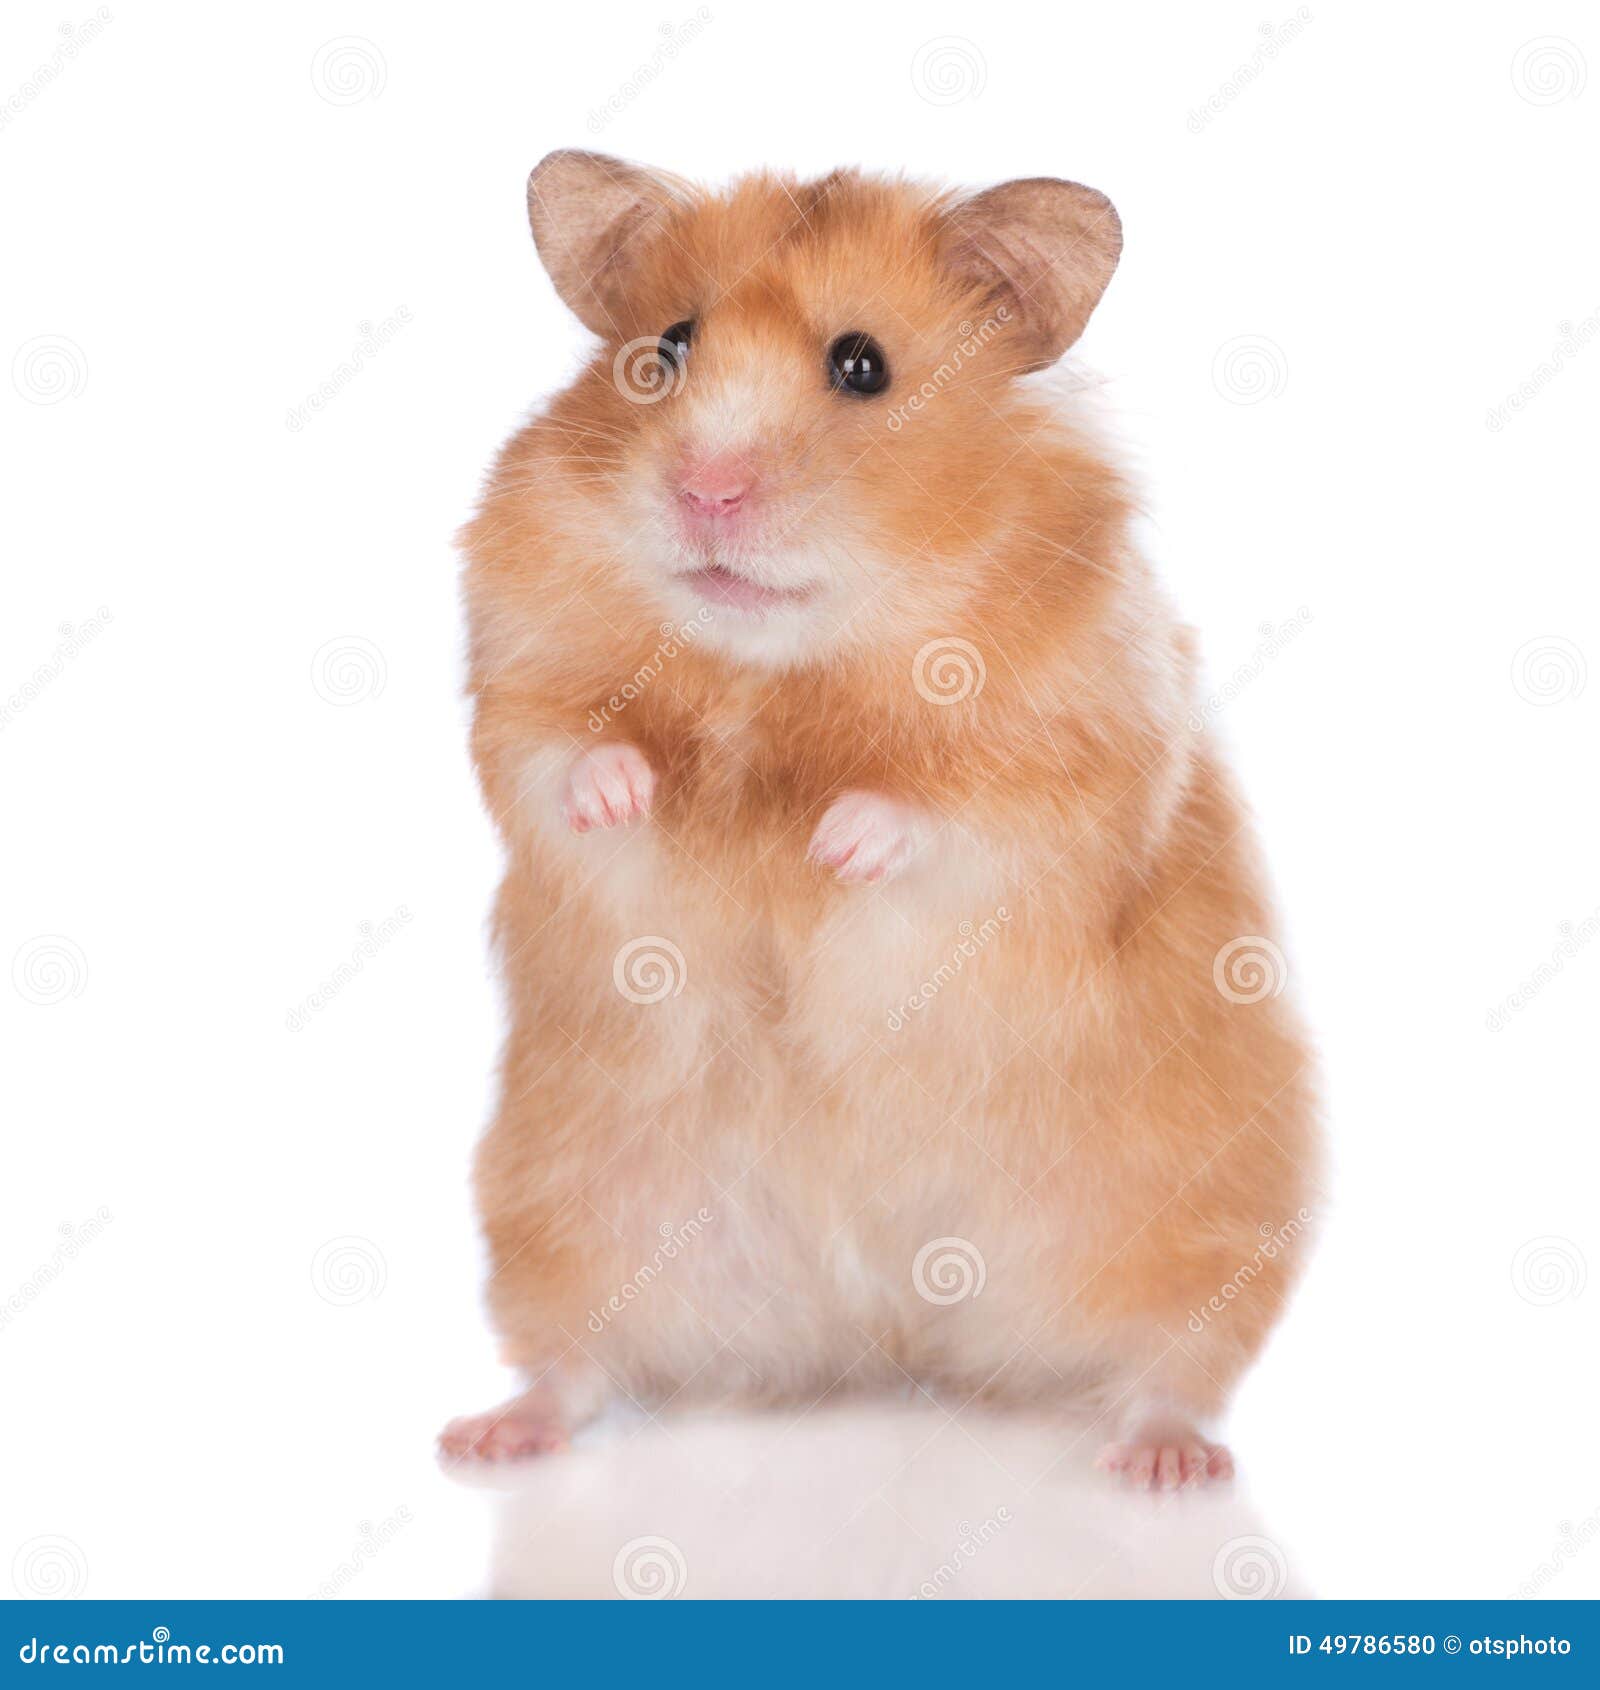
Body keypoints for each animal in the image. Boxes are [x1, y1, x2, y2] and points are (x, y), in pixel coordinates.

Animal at [439, 151, 1319, 1489]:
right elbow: (561, 756)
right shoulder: (519, 675)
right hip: (565, 1203)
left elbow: (952, 813)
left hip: (1194, 1212)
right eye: (666, 349)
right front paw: (636, 788)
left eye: (862, 365)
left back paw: (1163, 1464)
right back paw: (489, 1438)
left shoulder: (1074, 761)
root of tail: (894, 1331)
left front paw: (832, 841)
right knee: (572, 1362)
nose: (702, 493)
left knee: (1174, 1363)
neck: (786, 666)